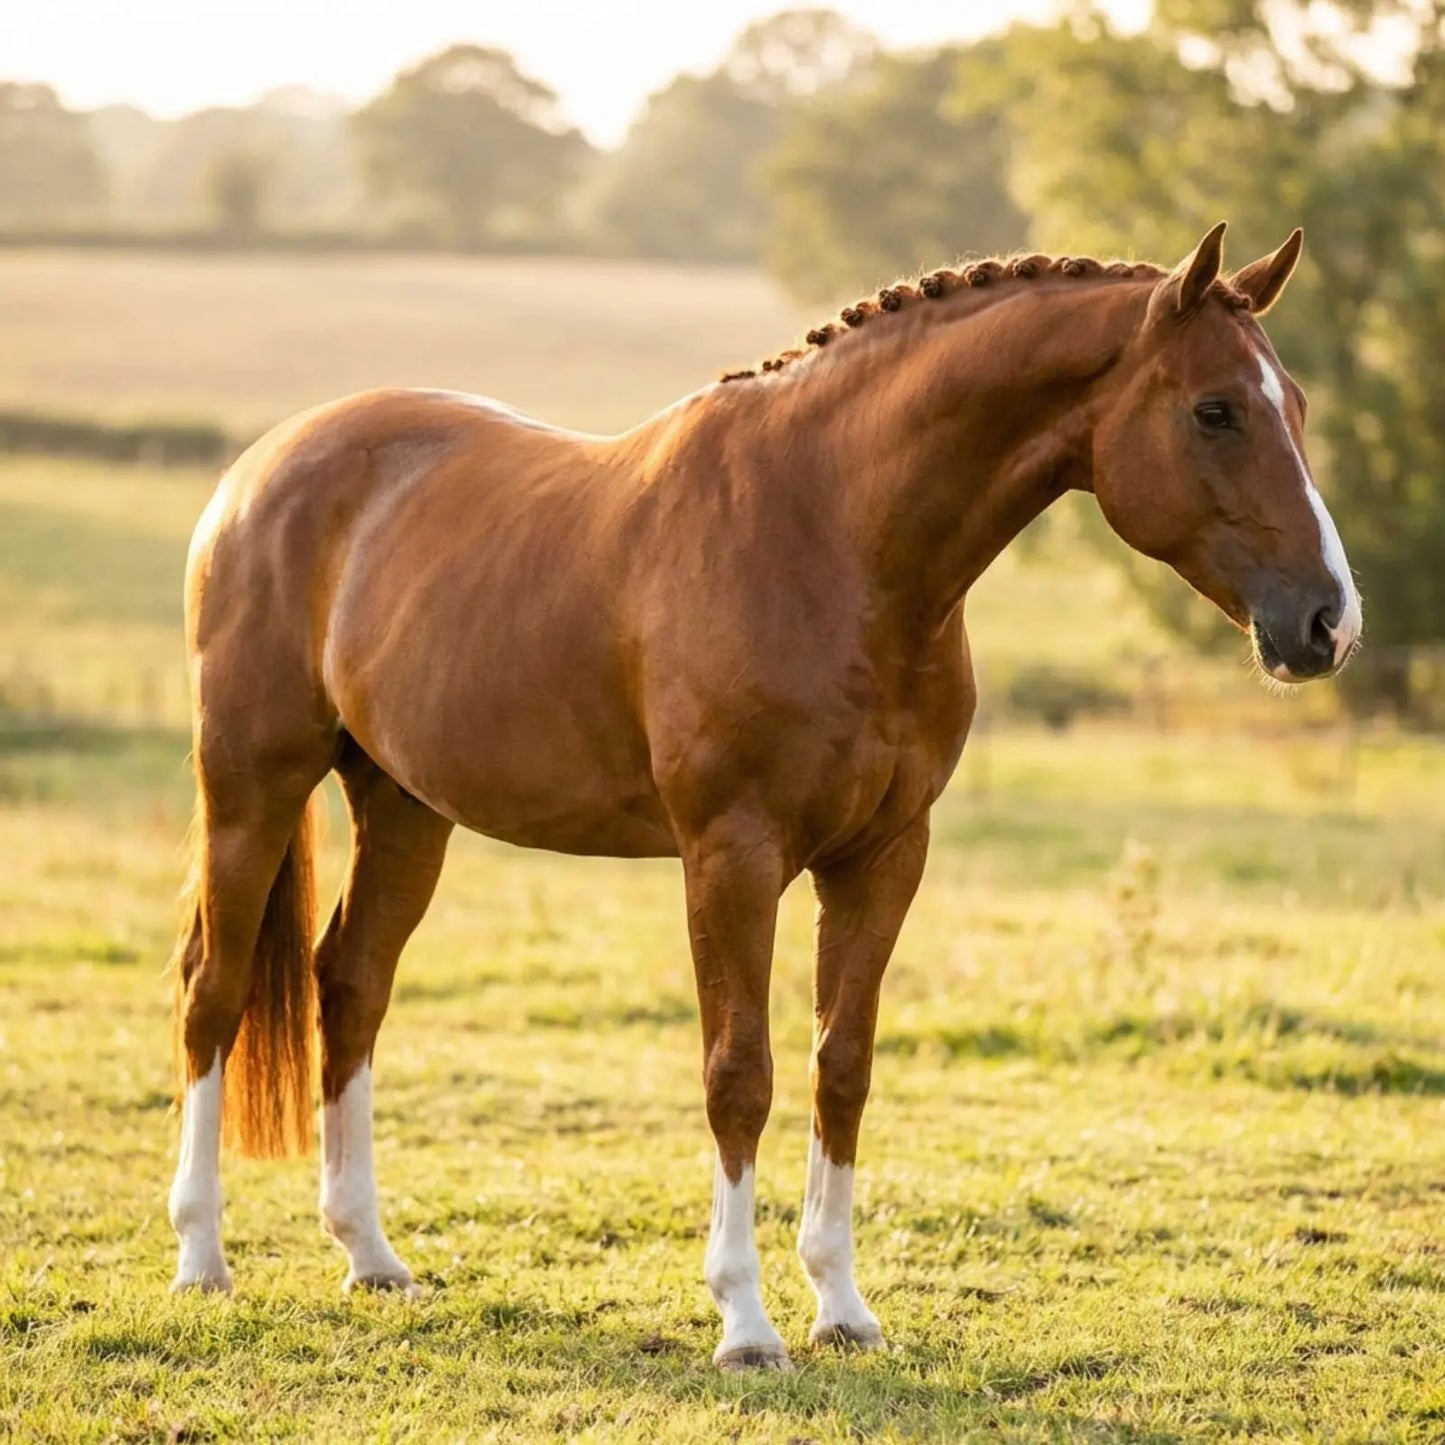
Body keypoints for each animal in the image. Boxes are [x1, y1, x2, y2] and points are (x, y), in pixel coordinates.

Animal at [167, 222, 1361, 1369]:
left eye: (1298, 406)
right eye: (1213, 410)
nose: (1328, 623)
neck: (832, 537)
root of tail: (259, 469)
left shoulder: (883, 855)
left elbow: (843, 1065)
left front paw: (841, 1307)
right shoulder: (730, 855)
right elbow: (739, 1072)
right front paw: (744, 1322)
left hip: (407, 808)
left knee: (350, 983)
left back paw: (370, 1255)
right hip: (250, 787)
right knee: (212, 991)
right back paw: (201, 1259)